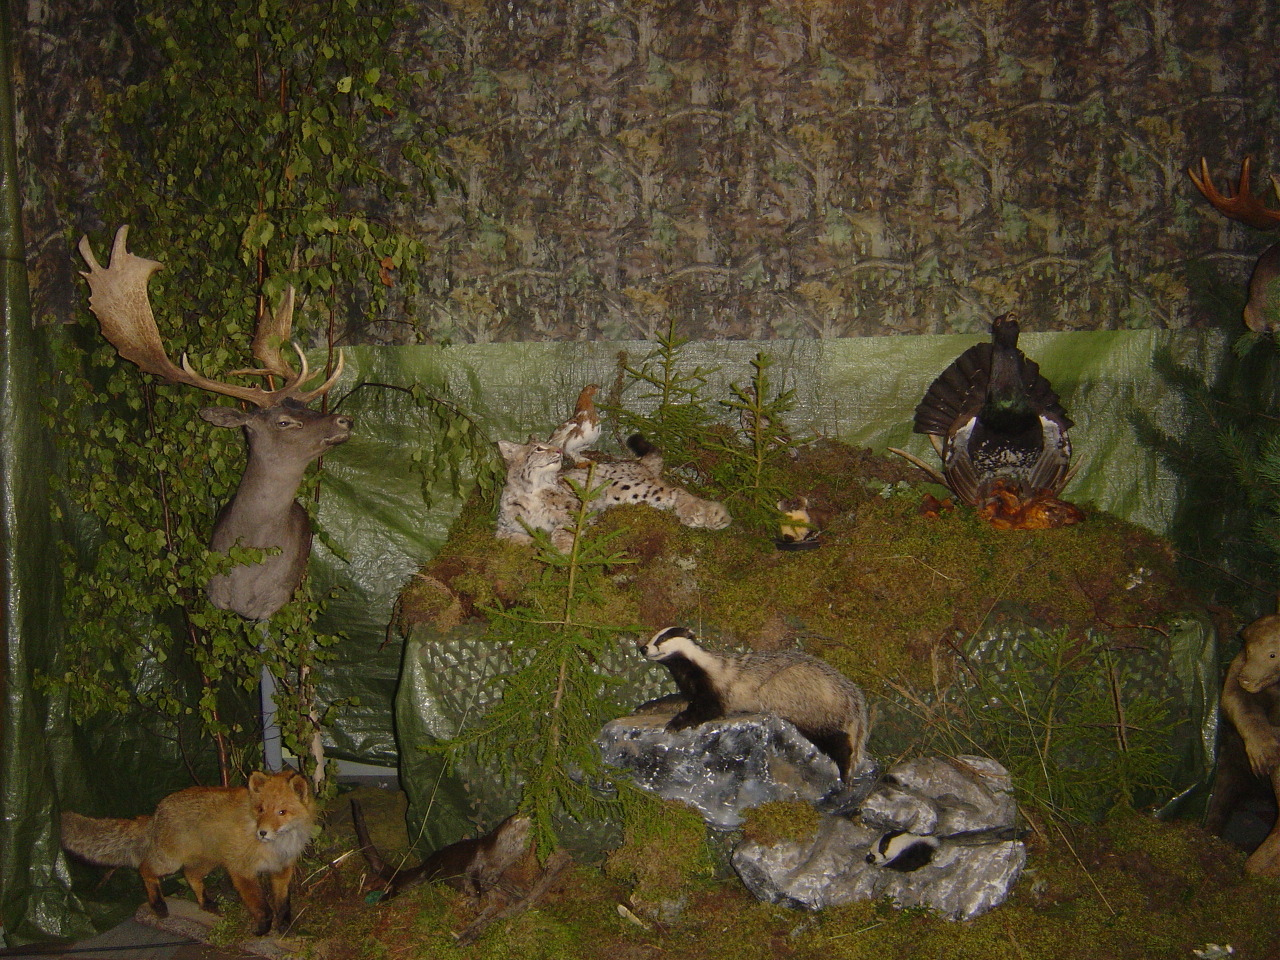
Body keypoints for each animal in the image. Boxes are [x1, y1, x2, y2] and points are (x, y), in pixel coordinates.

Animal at [60, 769, 315, 936]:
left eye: (282, 812)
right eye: (261, 809)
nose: (262, 833)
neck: (277, 847)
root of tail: (156, 813)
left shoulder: (282, 870)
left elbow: (283, 903)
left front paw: (284, 926)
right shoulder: (241, 870)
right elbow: (262, 907)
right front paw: (263, 929)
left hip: (208, 861)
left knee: (190, 875)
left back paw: (205, 903)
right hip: (169, 862)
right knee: (145, 868)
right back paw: (158, 905)